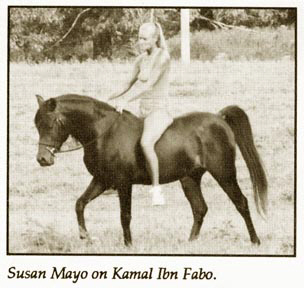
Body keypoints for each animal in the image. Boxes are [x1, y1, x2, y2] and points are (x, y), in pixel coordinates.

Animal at [34, 93, 268, 246]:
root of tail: (219, 118)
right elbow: (80, 204)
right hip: (190, 178)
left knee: (241, 203)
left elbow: (125, 215)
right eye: (37, 124)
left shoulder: (123, 183)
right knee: (200, 208)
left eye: (52, 123)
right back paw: (190, 243)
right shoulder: (101, 180)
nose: (43, 159)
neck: (104, 133)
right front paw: (85, 236)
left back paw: (255, 241)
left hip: (224, 173)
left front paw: (128, 245)